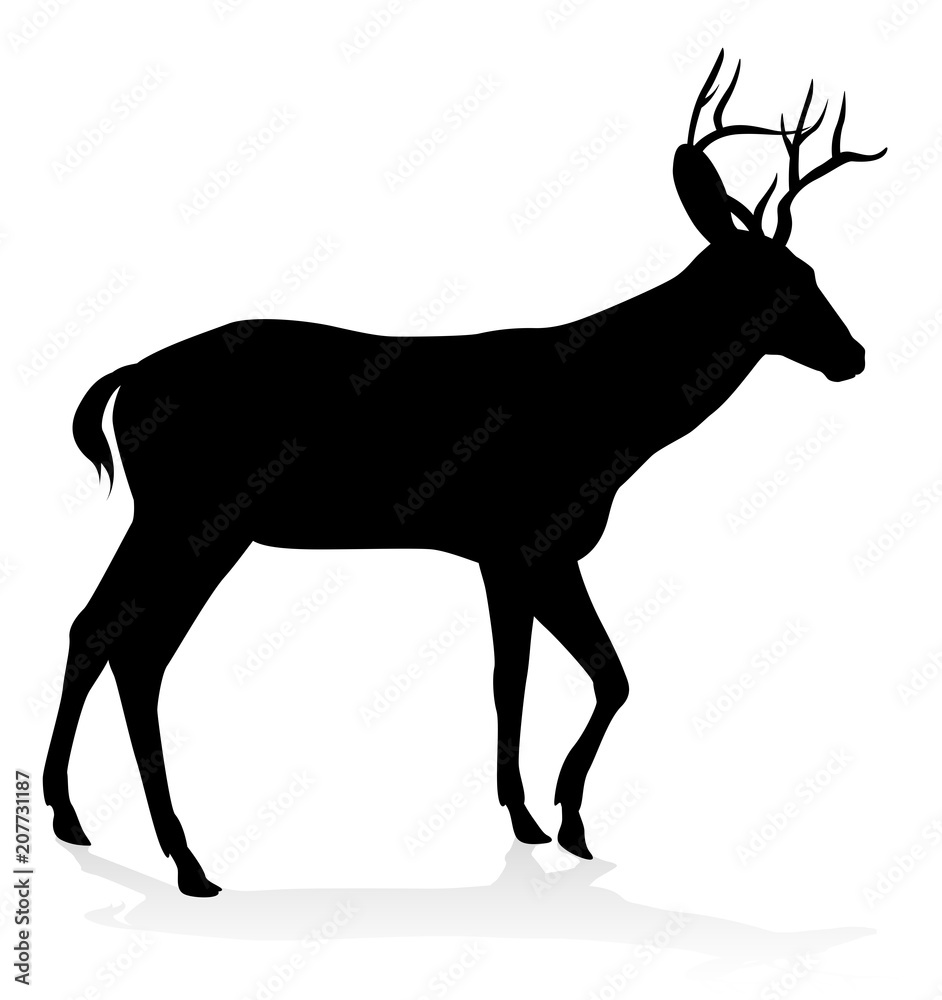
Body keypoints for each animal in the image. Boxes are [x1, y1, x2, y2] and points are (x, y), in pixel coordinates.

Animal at [44, 51, 885, 896]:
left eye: (810, 270)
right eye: (791, 279)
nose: (853, 355)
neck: (612, 416)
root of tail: (125, 381)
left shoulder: (514, 553)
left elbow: (541, 677)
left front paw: (540, 819)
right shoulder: (527, 539)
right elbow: (579, 676)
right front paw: (557, 818)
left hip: (167, 516)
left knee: (96, 626)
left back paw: (72, 816)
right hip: (198, 515)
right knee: (137, 650)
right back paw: (185, 858)